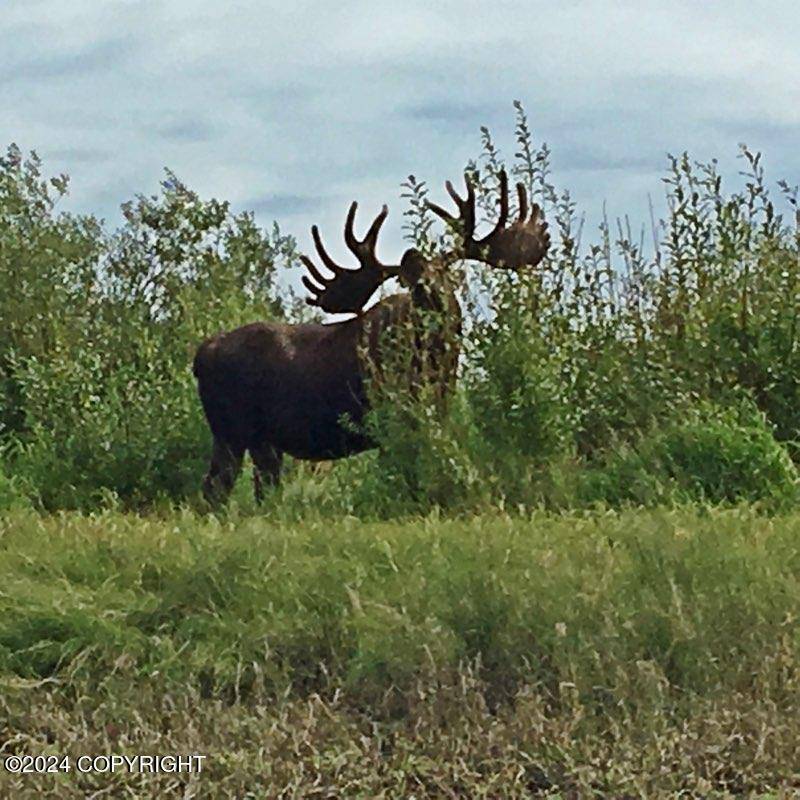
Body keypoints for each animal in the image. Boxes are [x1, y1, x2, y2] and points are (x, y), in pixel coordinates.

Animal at [194, 171, 552, 504]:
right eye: (410, 277)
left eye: (443, 271)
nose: (424, 286)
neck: (435, 361)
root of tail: (201, 354)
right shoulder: (391, 410)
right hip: (238, 429)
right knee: (223, 486)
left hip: (246, 437)